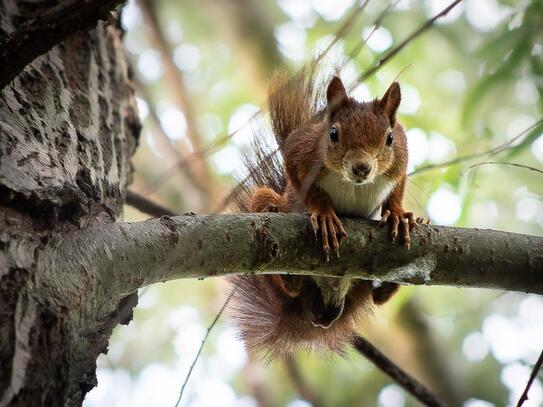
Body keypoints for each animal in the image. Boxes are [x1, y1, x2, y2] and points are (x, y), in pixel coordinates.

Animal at [227, 71, 418, 358]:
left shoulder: (402, 156)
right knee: (290, 285)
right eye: (334, 134)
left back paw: (388, 285)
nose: (361, 168)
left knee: (376, 297)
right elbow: (304, 183)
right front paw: (325, 214)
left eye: (389, 139)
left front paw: (397, 214)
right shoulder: (301, 150)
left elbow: (397, 188)